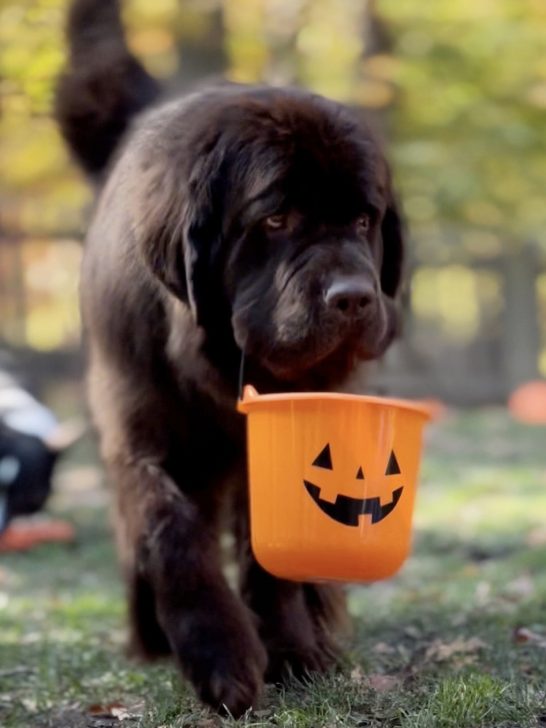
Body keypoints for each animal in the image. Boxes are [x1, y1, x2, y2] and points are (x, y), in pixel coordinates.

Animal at [56, 0, 404, 716]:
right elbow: (171, 535)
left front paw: (294, 653)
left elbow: (272, 552)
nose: (353, 297)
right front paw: (220, 660)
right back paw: (152, 636)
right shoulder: (141, 432)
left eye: (364, 221)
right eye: (275, 222)